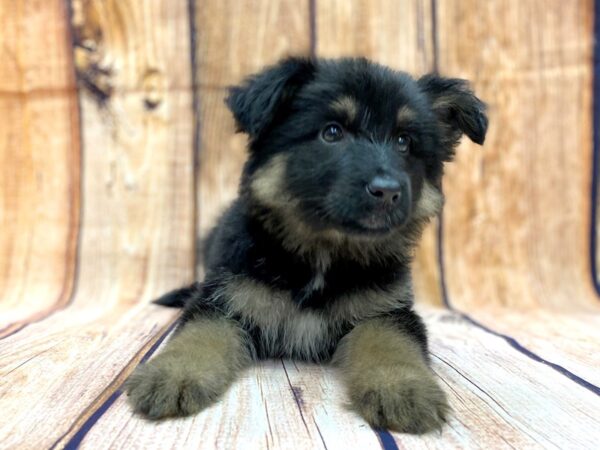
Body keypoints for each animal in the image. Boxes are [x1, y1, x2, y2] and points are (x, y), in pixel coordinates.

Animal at [126, 56, 488, 432]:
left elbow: (391, 343)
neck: (322, 252)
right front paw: (172, 373)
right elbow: (197, 335)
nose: (387, 191)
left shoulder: (387, 311)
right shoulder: (223, 300)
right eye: (332, 132)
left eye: (404, 141)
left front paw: (402, 387)